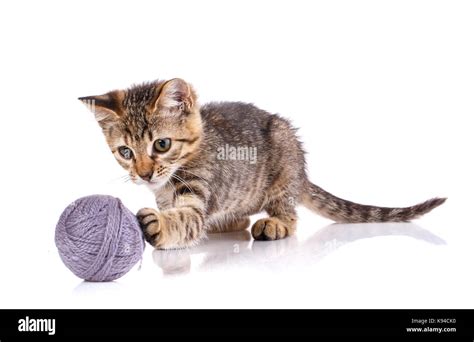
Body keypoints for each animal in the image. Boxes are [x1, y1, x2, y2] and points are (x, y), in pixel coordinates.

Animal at [79, 77, 446, 248]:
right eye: (125, 152)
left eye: (162, 144)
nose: (143, 174)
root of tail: (301, 174)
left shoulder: (198, 190)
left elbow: (188, 219)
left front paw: (160, 225)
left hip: (284, 157)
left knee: (289, 213)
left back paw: (275, 223)